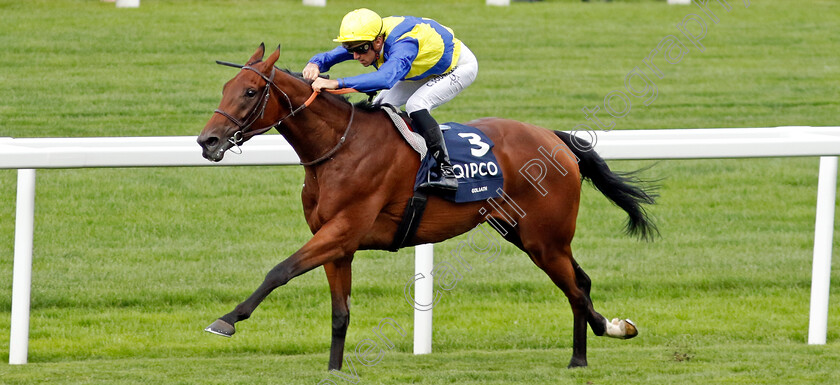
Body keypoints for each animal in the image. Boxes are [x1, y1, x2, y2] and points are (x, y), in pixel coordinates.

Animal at [197, 43, 656, 370]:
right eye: (224, 89)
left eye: (250, 92)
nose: (207, 141)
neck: (339, 147)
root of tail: (554, 138)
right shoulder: (338, 244)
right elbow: (340, 313)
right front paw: (334, 370)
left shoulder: (342, 230)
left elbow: (280, 270)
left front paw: (227, 320)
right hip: (524, 233)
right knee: (582, 281)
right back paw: (613, 327)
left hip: (545, 239)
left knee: (575, 289)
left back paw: (579, 358)